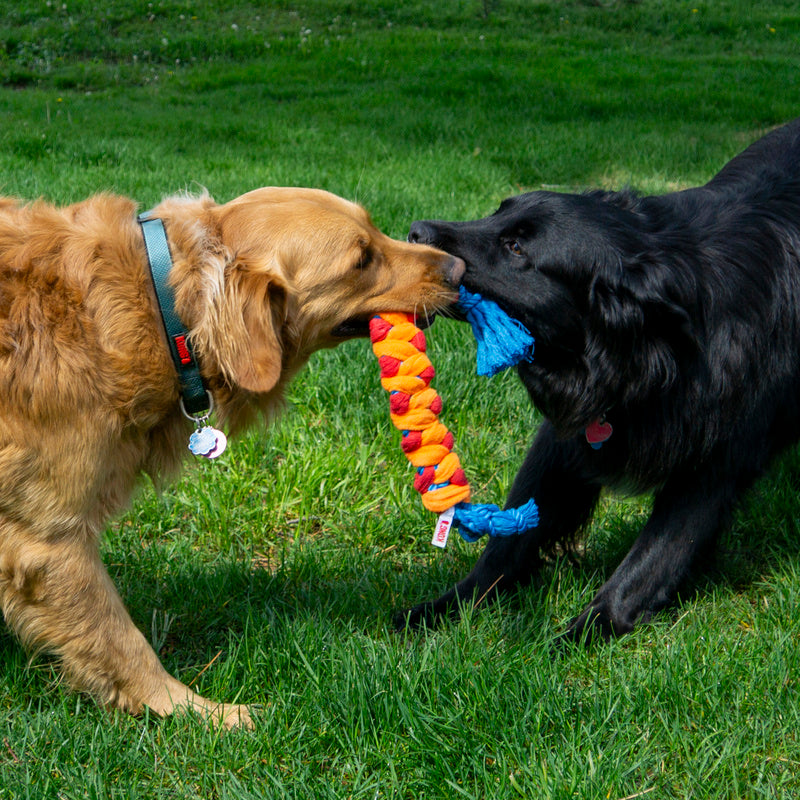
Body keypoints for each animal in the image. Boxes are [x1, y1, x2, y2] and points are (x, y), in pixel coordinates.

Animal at [404, 117, 800, 636]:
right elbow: (512, 536)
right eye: (495, 215)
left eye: (516, 247)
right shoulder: (570, 435)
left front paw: (576, 636)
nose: (414, 231)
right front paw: (451, 605)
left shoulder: (715, 463)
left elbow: (648, 564)